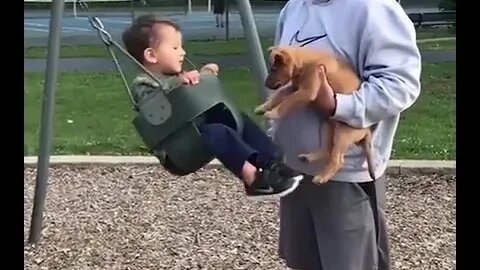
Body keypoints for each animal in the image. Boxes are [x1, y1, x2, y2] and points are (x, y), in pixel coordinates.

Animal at [255, 46, 376, 185]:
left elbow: (287, 101)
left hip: (342, 134)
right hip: (327, 127)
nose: (265, 84)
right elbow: (278, 95)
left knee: (337, 160)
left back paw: (322, 177)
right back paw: (310, 157)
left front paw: (274, 113)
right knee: (326, 150)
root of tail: (367, 130)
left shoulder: (306, 91)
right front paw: (263, 107)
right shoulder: (294, 88)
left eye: (274, 69)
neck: (304, 63)